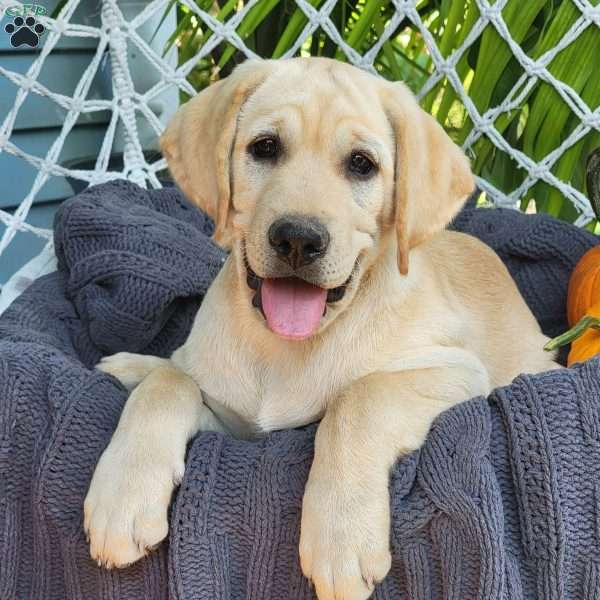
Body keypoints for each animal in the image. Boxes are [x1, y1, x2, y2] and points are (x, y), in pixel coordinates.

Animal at [84, 57, 556, 600]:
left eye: (362, 164)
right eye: (265, 148)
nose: (297, 239)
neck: (285, 346)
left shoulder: (456, 370)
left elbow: (358, 398)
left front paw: (340, 536)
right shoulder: (237, 429)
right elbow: (170, 380)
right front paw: (123, 493)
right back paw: (129, 365)